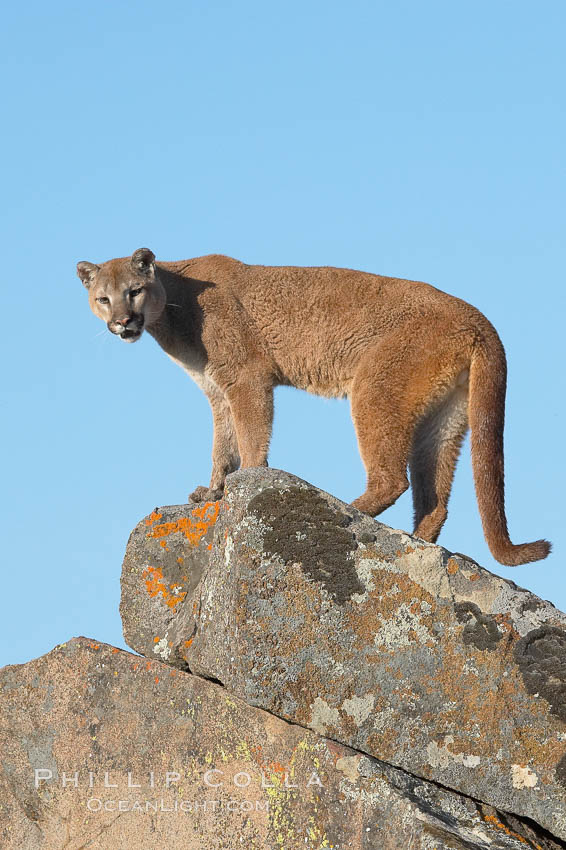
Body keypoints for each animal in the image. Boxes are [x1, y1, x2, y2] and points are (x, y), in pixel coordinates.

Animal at [77, 247, 552, 564]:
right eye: (103, 298)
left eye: (134, 291)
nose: (122, 322)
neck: (174, 301)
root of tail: (478, 319)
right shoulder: (217, 390)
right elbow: (221, 445)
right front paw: (212, 491)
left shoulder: (247, 376)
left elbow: (249, 437)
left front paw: (246, 482)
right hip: (445, 417)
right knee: (435, 497)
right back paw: (415, 541)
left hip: (375, 387)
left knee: (391, 478)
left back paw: (349, 513)